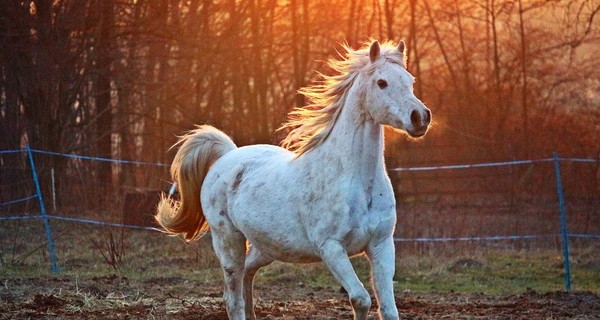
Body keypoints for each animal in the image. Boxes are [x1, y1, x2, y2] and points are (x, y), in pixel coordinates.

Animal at [156, 40, 432, 320]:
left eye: (410, 80)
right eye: (381, 82)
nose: (420, 117)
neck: (356, 182)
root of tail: (227, 155)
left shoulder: (381, 245)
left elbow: (388, 308)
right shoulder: (331, 248)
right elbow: (361, 298)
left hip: (267, 246)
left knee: (247, 273)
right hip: (228, 241)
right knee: (233, 297)